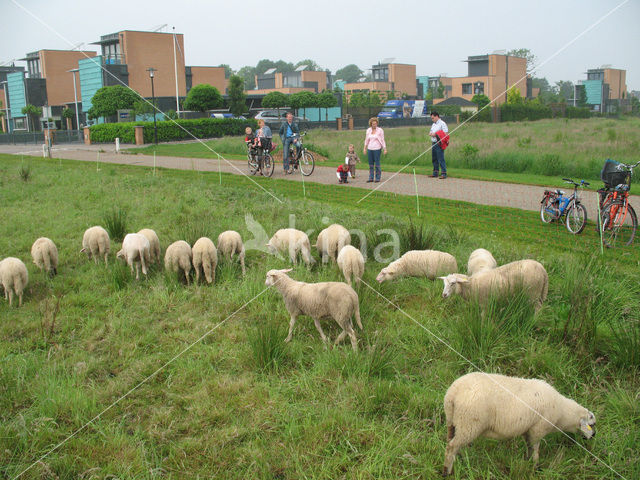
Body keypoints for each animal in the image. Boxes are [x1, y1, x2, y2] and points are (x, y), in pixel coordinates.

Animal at [442, 374, 596, 474]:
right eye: (592, 424)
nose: (593, 436)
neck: (562, 412)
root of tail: (452, 393)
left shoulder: (528, 430)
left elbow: (529, 448)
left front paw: (527, 462)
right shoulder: (537, 429)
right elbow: (535, 449)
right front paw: (536, 468)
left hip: (453, 423)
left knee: (451, 443)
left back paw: (459, 462)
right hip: (469, 424)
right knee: (451, 446)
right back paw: (446, 472)